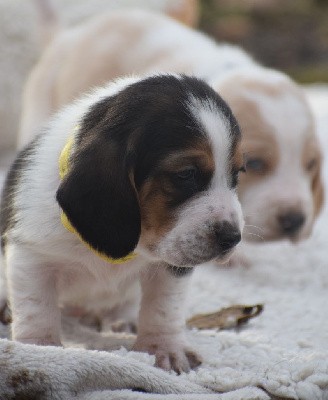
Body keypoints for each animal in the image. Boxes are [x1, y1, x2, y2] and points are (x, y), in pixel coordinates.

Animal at [1, 74, 243, 372]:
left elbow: (164, 308)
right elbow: (37, 307)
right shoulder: (32, 256)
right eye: (186, 174)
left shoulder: (172, 266)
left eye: (237, 174)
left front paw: (163, 347)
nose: (233, 238)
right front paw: (41, 348)